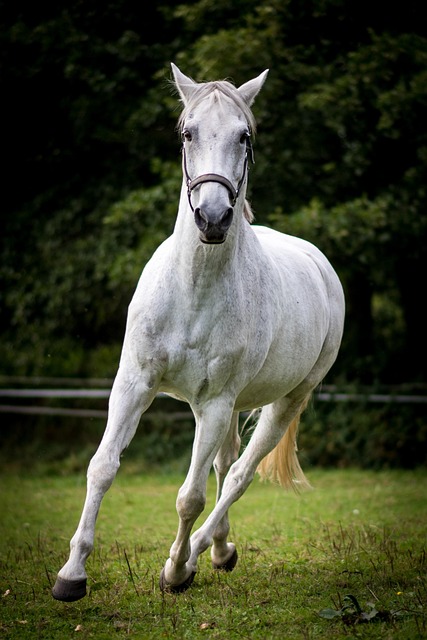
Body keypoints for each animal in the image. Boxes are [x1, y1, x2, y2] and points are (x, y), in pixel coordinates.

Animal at [52, 63, 345, 601]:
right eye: (187, 133)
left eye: (244, 135)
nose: (212, 218)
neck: (194, 286)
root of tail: (317, 262)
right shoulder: (134, 385)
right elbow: (102, 467)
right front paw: (71, 575)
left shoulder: (214, 404)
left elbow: (191, 497)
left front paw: (174, 571)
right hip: (227, 407)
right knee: (225, 466)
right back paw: (220, 551)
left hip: (281, 402)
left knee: (238, 476)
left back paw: (194, 556)